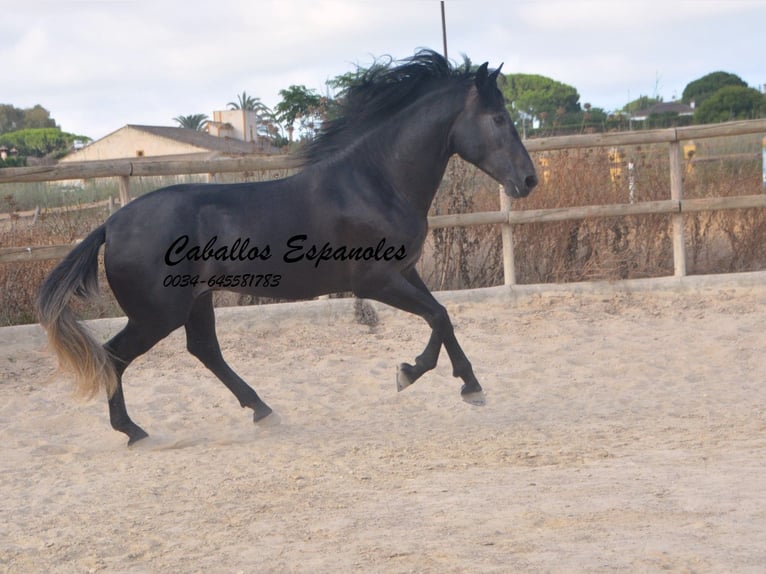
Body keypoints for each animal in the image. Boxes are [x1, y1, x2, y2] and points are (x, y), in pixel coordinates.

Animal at [37, 49, 540, 446]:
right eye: (499, 119)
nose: (529, 180)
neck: (374, 181)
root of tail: (110, 224)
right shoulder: (375, 281)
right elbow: (437, 316)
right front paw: (413, 374)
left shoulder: (406, 271)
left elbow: (444, 317)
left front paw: (466, 384)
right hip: (157, 314)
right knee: (116, 356)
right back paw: (134, 431)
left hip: (195, 301)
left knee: (204, 351)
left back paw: (263, 411)